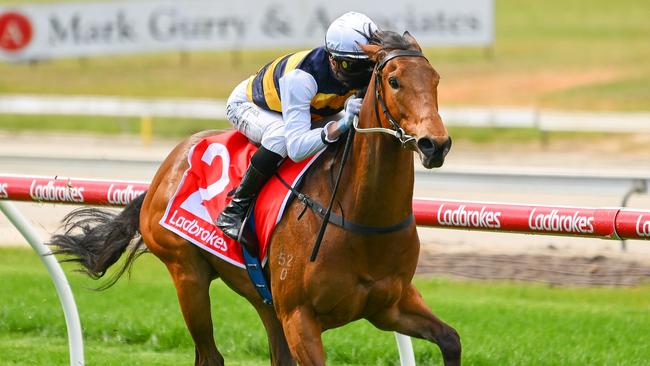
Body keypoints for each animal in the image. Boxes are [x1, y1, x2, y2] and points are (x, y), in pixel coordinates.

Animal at [49, 30, 456, 364]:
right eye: (394, 80)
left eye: (436, 79)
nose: (435, 144)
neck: (362, 218)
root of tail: (164, 171)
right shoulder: (300, 318)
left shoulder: (391, 305)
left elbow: (450, 340)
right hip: (187, 274)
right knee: (209, 356)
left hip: (261, 297)